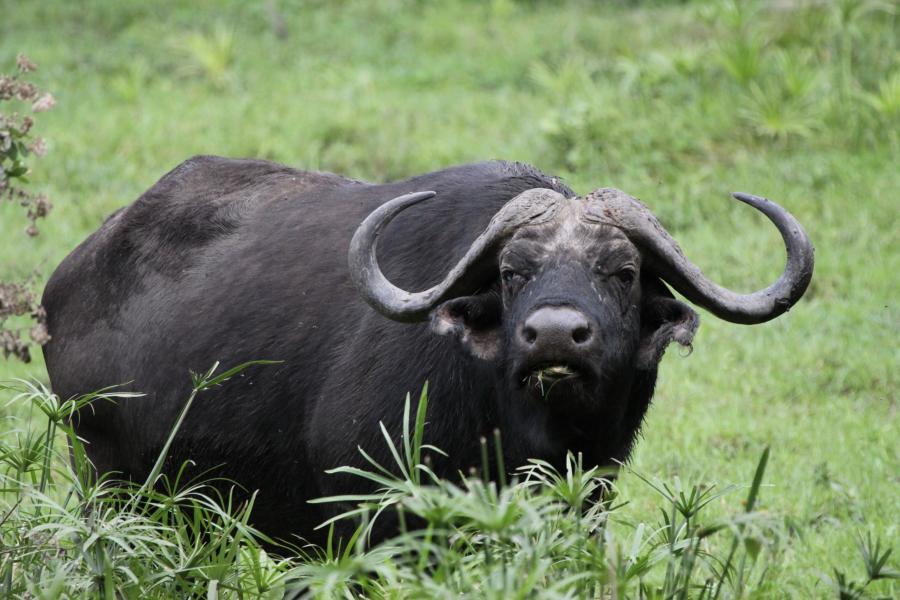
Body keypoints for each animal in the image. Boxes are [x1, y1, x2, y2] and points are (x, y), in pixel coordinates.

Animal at [42, 156, 814, 546]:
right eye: (512, 272)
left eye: (622, 272)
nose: (554, 335)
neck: (516, 431)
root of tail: (66, 284)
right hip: (110, 485)